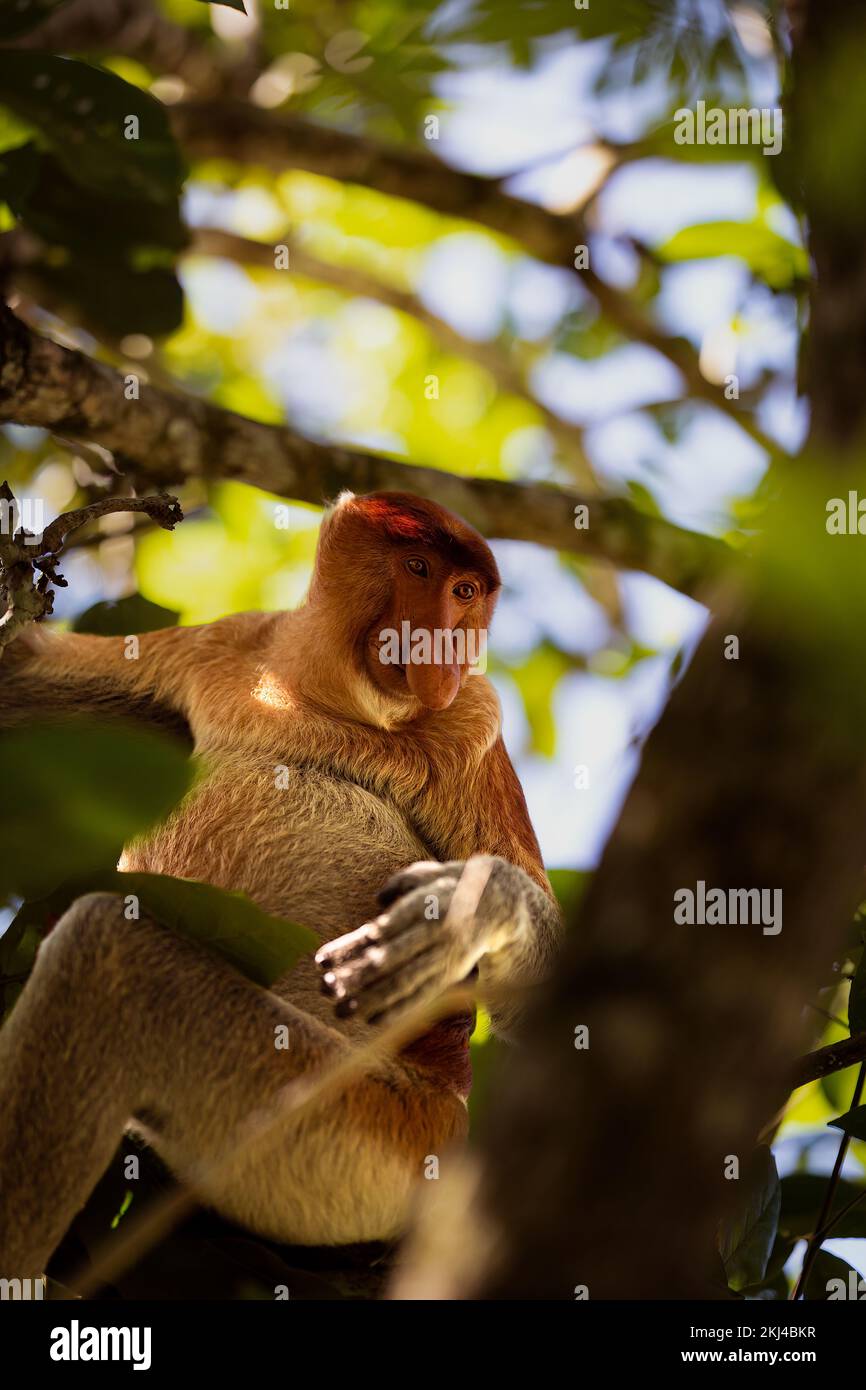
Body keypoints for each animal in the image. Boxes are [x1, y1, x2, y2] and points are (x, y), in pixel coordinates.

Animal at [0, 492, 561, 1278]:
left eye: (466, 592)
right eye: (419, 569)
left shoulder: (472, 723)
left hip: (365, 1132)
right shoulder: (216, 643)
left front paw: (460, 911)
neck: (315, 692)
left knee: (113, 961)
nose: (442, 648)